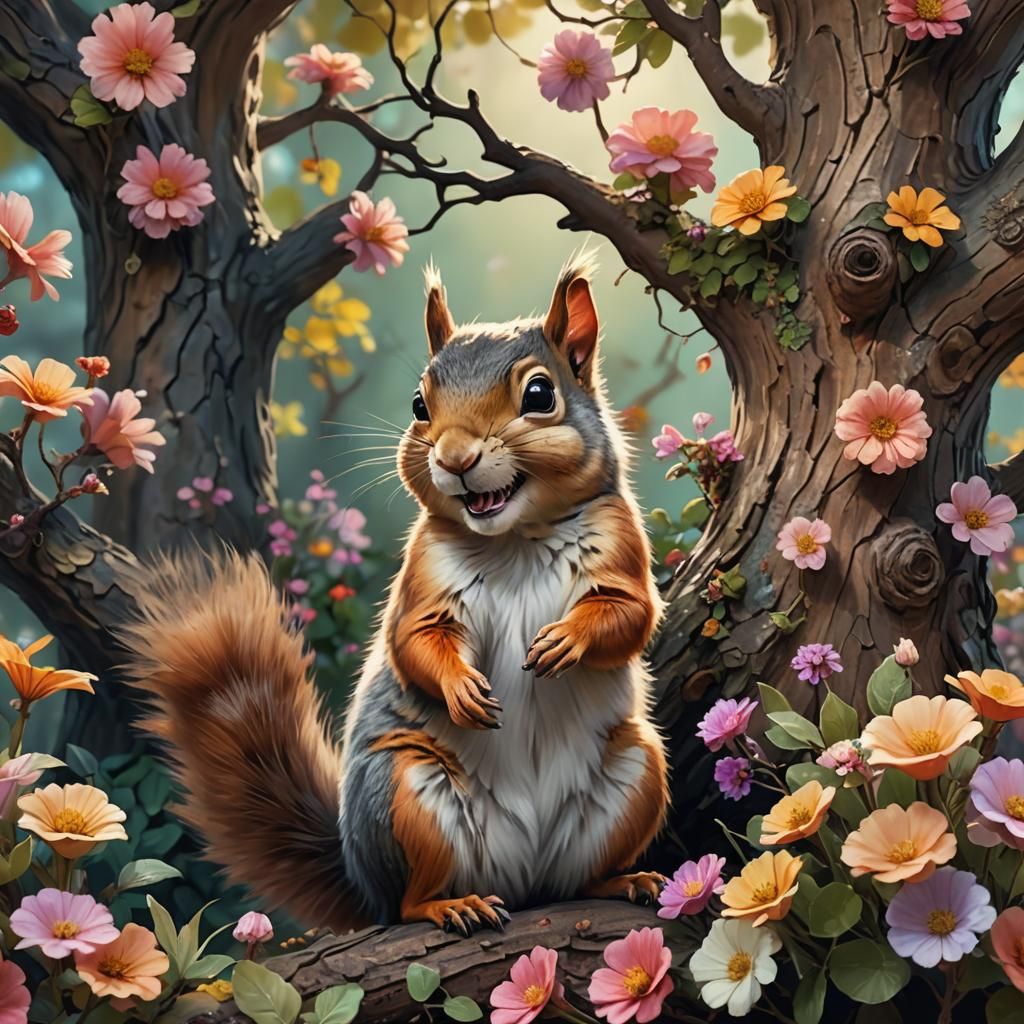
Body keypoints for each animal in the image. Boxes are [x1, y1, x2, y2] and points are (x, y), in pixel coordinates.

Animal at [121, 257, 669, 936]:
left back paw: (624, 879)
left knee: (580, 877)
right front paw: (462, 689)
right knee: (410, 902)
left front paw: (565, 640)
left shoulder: (619, 546)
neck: (515, 539)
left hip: (637, 769)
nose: (455, 458)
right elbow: (415, 639)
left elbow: (630, 614)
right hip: (406, 790)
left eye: (540, 396)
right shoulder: (423, 575)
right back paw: (451, 904)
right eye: (419, 404)